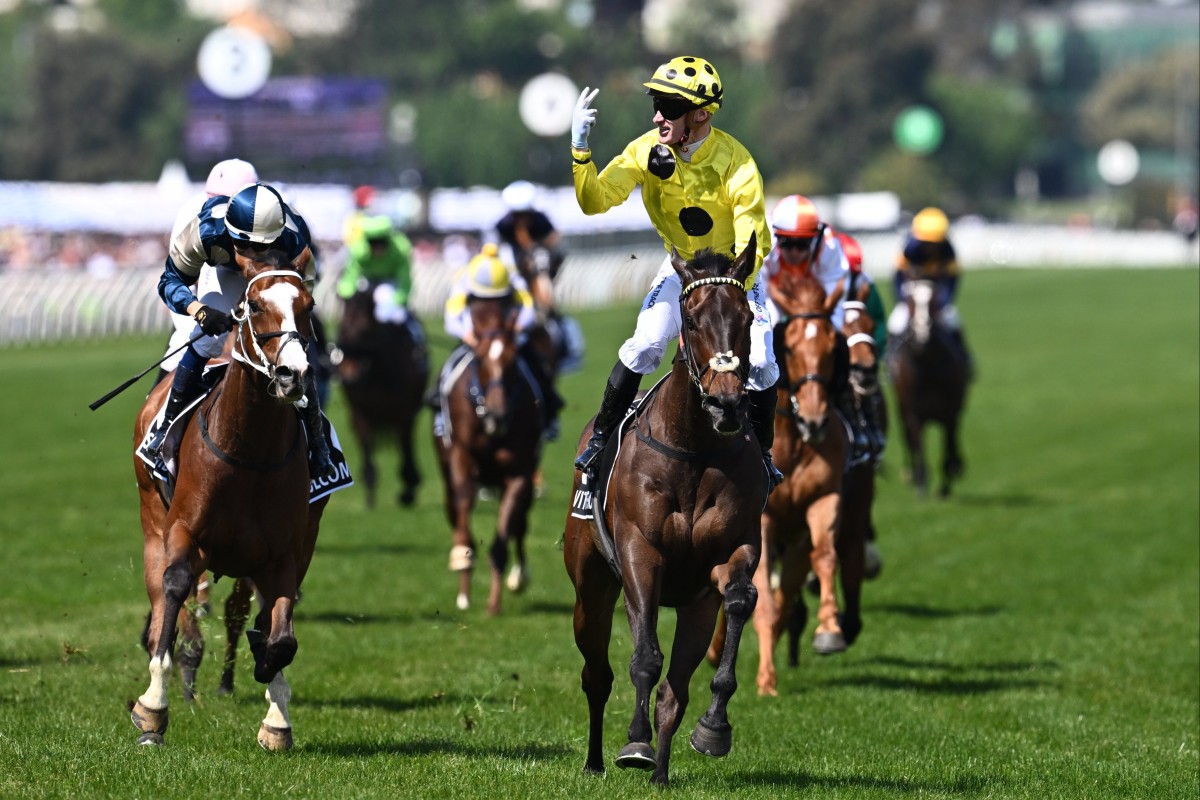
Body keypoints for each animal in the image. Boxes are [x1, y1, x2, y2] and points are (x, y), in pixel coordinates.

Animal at [434, 297, 547, 618]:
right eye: (482, 359)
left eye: (512, 360)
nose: (498, 415)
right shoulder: (460, 457)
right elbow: (463, 502)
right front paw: (462, 557)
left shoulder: (520, 472)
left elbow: (504, 536)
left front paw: (494, 603)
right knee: (453, 507)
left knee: (520, 523)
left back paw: (518, 577)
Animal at [564, 239, 768, 786]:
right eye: (692, 320)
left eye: (745, 318)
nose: (726, 405)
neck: (694, 448)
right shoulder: (641, 553)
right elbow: (643, 659)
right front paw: (633, 743)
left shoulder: (733, 552)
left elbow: (739, 600)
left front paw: (714, 729)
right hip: (591, 588)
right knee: (598, 674)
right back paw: (597, 760)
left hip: (695, 608)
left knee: (675, 690)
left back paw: (660, 772)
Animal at [888, 278, 969, 496]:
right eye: (909, 302)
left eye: (933, 303)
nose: (920, 336)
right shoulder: (915, 412)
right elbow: (919, 445)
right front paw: (921, 483)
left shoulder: (950, 411)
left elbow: (949, 444)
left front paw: (946, 484)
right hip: (901, 407)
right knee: (908, 438)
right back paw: (911, 474)